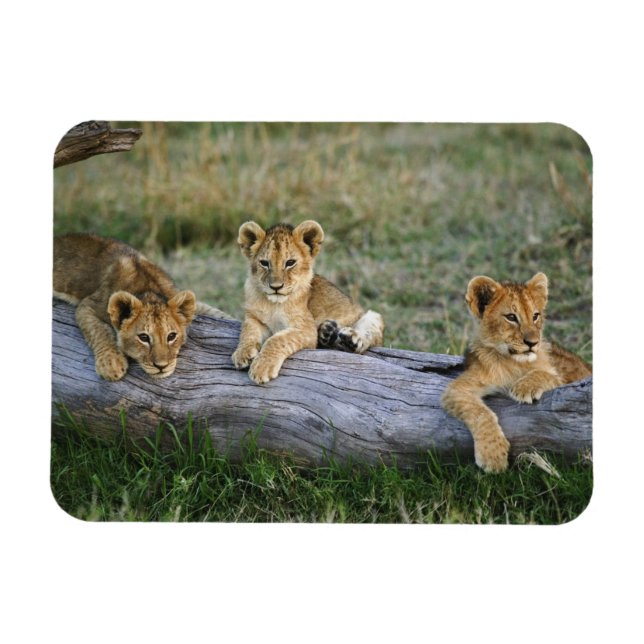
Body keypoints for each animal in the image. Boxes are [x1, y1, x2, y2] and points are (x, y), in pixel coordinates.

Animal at [53, 233, 201, 381]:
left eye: (171, 336)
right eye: (144, 337)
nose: (161, 366)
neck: (148, 288)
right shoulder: (89, 305)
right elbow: (99, 331)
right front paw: (111, 364)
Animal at [231, 220, 384, 384]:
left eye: (290, 263)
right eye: (265, 263)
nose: (276, 287)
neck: (273, 304)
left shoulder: (306, 329)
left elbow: (277, 340)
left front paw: (262, 367)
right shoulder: (253, 317)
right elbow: (247, 331)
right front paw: (242, 353)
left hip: (371, 316)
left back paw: (349, 339)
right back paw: (327, 332)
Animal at [441, 272, 591, 473]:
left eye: (535, 316)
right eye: (511, 317)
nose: (533, 342)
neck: (514, 363)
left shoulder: (567, 382)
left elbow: (547, 375)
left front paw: (524, 387)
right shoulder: (458, 388)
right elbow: (480, 413)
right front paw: (493, 456)